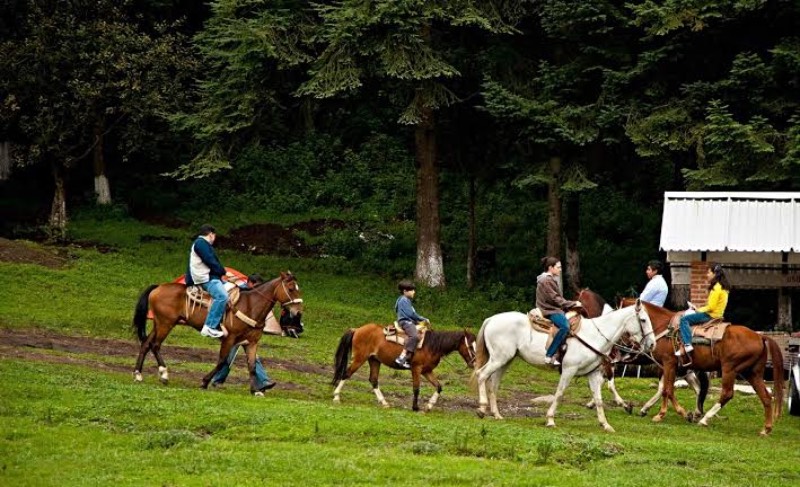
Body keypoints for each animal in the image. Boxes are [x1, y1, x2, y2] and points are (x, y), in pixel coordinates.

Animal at [134, 272, 304, 394]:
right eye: (290, 289)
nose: (298, 312)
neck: (251, 305)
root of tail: (158, 287)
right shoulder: (229, 339)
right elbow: (222, 361)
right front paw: (204, 382)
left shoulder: (251, 342)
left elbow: (252, 365)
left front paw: (256, 390)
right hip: (166, 324)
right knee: (155, 345)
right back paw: (164, 374)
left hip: (159, 323)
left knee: (146, 344)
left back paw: (138, 374)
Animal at [332, 328, 476, 412]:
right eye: (470, 346)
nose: (474, 363)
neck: (432, 345)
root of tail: (357, 329)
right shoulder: (416, 369)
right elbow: (416, 388)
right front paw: (415, 407)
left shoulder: (427, 371)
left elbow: (438, 386)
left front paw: (429, 405)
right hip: (359, 358)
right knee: (346, 374)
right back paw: (336, 397)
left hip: (374, 360)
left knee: (373, 380)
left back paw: (384, 403)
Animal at [472, 304, 652, 432]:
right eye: (643, 320)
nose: (651, 344)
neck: (594, 336)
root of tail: (491, 319)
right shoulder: (569, 370)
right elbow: (559, 394)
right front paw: (550, 419)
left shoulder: (593, 374)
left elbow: (599, 399)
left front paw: (605, 424)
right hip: (499, 358)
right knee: (481, 375)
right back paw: (481, 409)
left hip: (505, 360)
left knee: (493, 384)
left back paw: (496, 414)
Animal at [616, 300, 784, 436]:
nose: (619, 345)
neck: (665, 327)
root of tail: (760, 336)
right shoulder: (673, 367)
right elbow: (666, 389)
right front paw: (650, 410)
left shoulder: (669, 364)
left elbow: (667, 390)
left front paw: (672, 414)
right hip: (752, 373)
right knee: (766, 397)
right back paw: (766, 429)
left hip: (730, 369)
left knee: (727, 393)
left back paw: (705, 419)